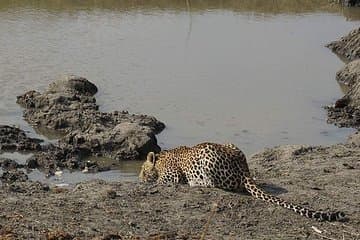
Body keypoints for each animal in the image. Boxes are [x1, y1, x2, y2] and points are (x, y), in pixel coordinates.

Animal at [139, 142, 346, 222]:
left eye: (141, 169)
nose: (139, 177)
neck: (161, 159)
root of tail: (244, 169)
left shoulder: (172, 175)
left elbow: (160, 181)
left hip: (207, 159)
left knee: (215, 184)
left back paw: (196, 182)